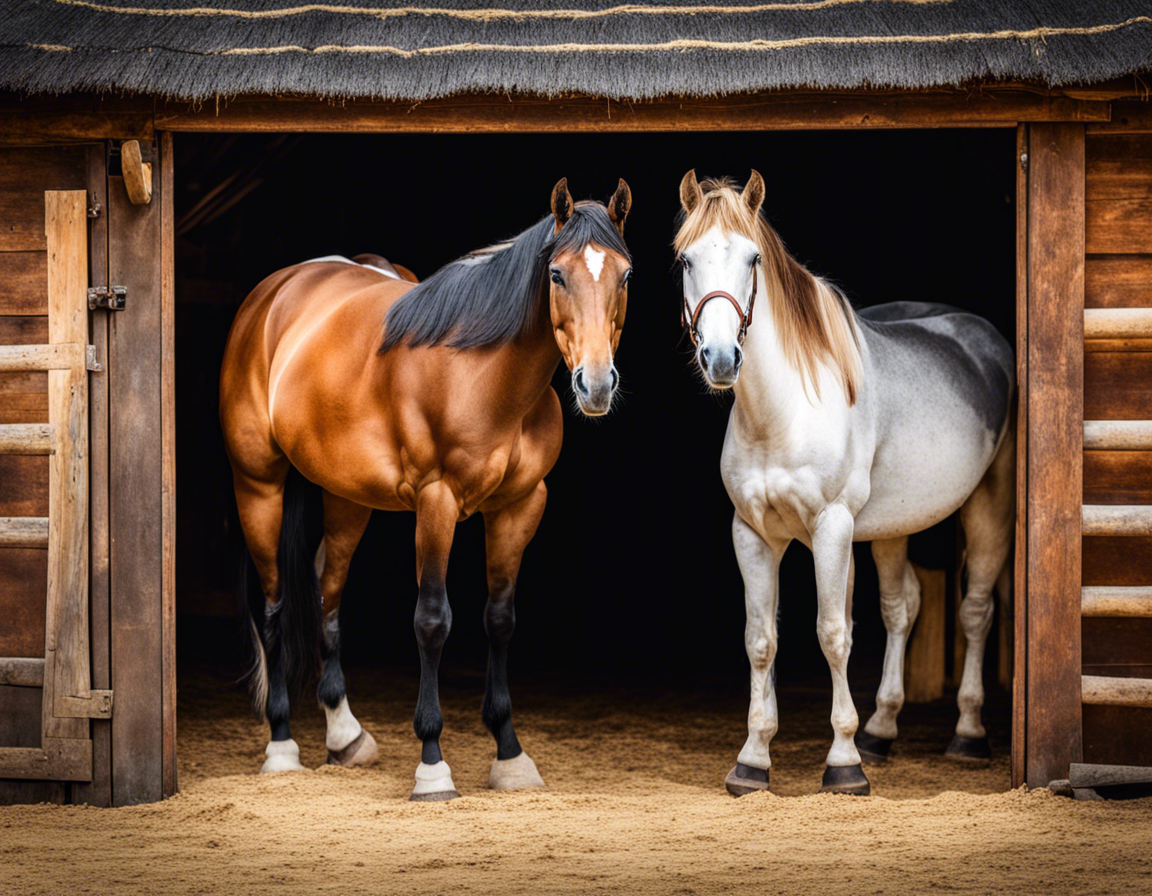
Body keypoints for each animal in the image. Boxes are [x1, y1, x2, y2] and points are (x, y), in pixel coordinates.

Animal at [219, 178, 632, 800]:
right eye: (557, 275)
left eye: (625, 275)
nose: (597, 384)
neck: (483, 375)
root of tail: (273, 294)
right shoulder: (436, 503)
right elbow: (433, 620)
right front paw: (433, 764)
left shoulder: (520, 506)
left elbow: (500, 618)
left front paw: (510, 753)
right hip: (259, 484)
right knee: (273, 607)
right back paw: (282, 746)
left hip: (347, 498)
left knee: (327, 593)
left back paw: (345, 735)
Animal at [673, 170, 1014, 796]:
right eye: (687, 259)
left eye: (753, 258)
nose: (721, 358)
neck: (782, 411)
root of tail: (977, 333)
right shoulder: (753, 534)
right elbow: (761, 640)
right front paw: (752, 761)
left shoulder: (831, 528)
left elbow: (833, 633)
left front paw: (844, 763)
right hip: (891, 527)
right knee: (902, 607)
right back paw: (882, 730)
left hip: (989, 507)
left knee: (975, 610)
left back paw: (968, 734)